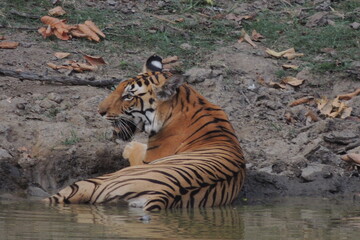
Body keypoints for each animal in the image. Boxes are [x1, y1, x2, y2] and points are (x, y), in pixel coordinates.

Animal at [45, 55, 245, 211]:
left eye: (128, 96)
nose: (99, 111)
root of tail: (162, 195)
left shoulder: (146, 159)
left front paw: (130, 147)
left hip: (93, 182)